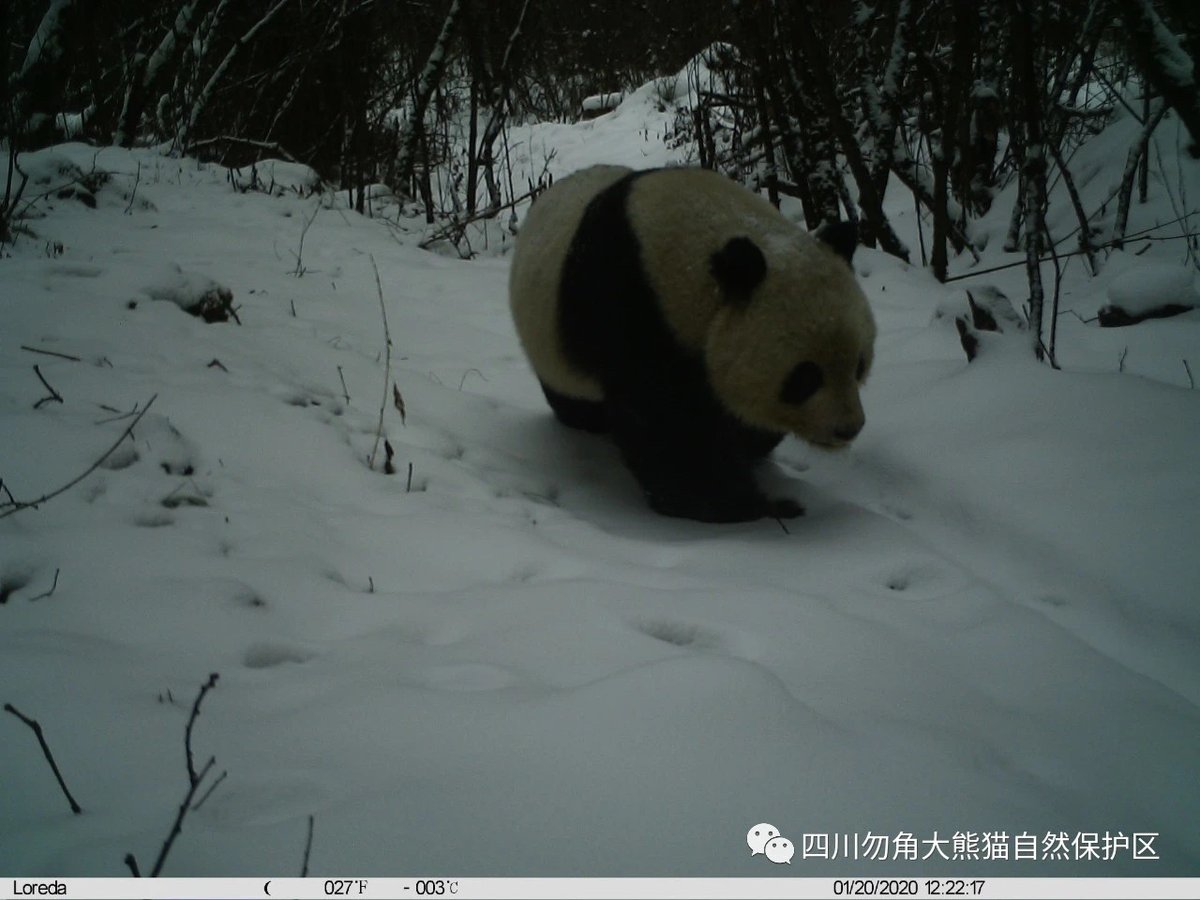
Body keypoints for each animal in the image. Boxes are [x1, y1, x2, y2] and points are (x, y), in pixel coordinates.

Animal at [509, 164, 876, 523]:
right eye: (806, 376)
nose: (848, 428)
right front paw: (758, 506)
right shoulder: (633, 310)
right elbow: (672, 431)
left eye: (859, 365)